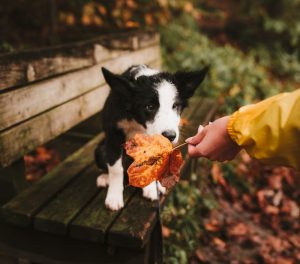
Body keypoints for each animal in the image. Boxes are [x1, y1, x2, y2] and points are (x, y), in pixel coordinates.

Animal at [95, 64, 207, 210]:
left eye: (175, 106)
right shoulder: (113, 134)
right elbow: (115, 169)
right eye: (149, 106)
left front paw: (151, 189)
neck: (136, 119)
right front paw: (114, 197)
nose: (170, 136)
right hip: (100, 150)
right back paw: (105, 178)